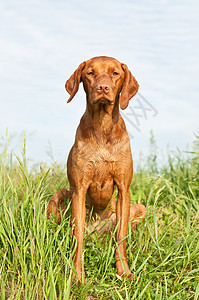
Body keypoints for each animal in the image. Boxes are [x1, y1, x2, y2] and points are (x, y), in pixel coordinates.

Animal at [47, 56, 145, 284]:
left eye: (115, 73)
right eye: (90, 73)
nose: (103, 88)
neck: (102, 126)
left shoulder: (124, 189)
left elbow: (121, 236)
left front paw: (124, 271)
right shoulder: (79, 189)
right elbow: (77, 238)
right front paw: (77, 276)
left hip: (139, 208)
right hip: (59, 196)